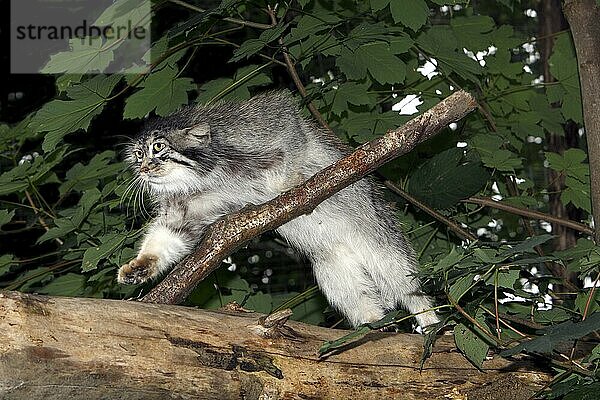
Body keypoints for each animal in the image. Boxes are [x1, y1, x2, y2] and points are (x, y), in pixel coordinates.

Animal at [119, 92, 440, 330]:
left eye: (158, 148)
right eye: (138, 153)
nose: (143, 168)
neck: (202, 177)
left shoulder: (273, 120)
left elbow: (293, 150)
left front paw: (287, 186)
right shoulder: (187, 210)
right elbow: (168, 235)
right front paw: (140, 266)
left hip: (382, 244)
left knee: (410, 289)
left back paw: (431, 322)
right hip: (332, 267)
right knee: (359, 297)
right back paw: (373, 324)